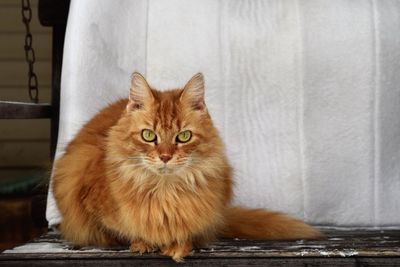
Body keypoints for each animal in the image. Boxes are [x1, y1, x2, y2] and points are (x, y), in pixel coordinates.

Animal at [53, 71, 322, 262]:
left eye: (183, 137)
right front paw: (143, 243)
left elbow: (188, 235)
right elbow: (123, 232)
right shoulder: (87, 201)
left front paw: (178, 246)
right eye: (148, 135)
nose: (165, 156)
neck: (164, 193)